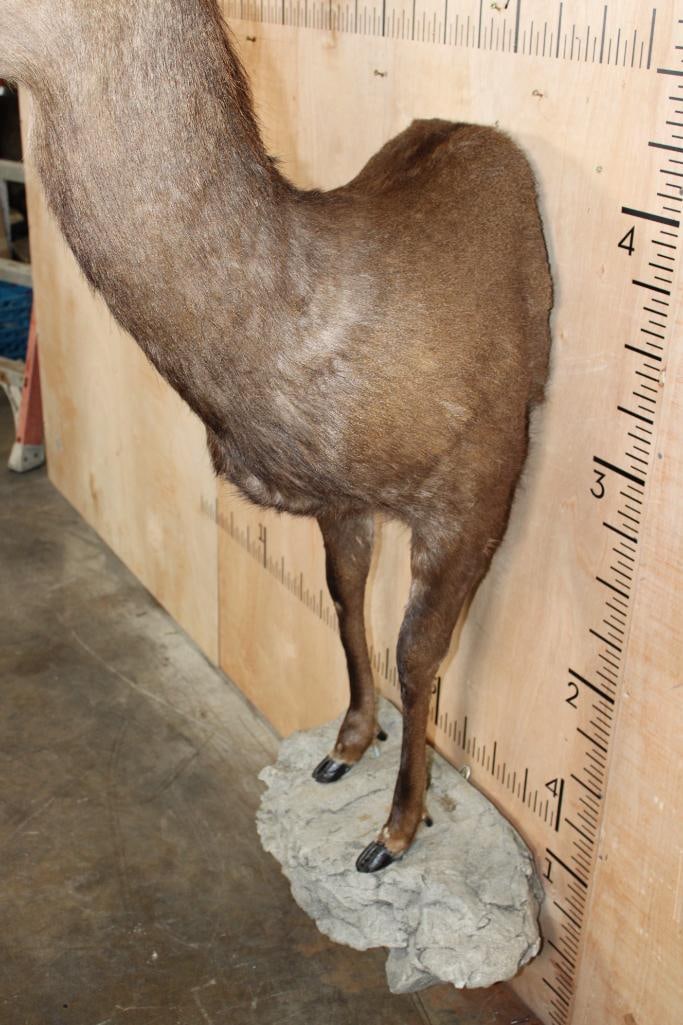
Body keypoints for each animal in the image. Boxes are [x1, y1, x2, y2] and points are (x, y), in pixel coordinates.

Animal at [1, 0, 552, 873]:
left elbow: (417, 651)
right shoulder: (339, 500)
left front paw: (393, 831)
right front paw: (346, 743)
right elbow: (342, 595)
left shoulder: (479, 480)